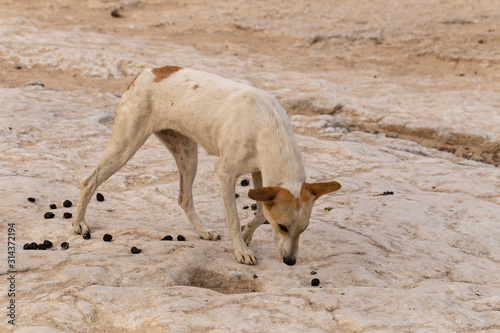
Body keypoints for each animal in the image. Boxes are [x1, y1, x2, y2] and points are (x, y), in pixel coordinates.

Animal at [73, 65, 340, 264]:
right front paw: (241, 249)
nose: (290, 261)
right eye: (283, 227)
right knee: (88, 181)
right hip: (125, 147)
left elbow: (260, 213)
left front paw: (247, 235)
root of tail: (148, 71)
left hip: (188, 155)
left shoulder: (260, 173)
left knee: (184, 198)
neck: (268, 125)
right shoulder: (226, 174)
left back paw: (203, 231)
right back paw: (78, 223)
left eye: (303, 229)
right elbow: (233, 219)